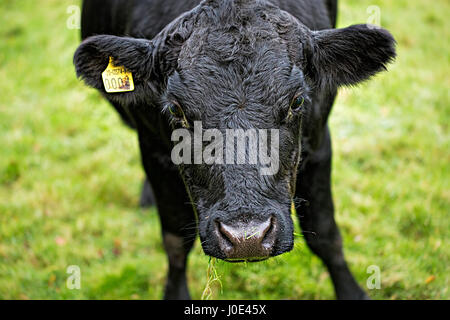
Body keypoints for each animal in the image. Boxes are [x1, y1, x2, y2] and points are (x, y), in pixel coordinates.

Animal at [74, 0, 394, 300]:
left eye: (297, 101)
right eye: (176, 109)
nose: (246, 237)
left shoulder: (317, 144)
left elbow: (326, 234)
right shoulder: (154, 151)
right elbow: (175, 241)